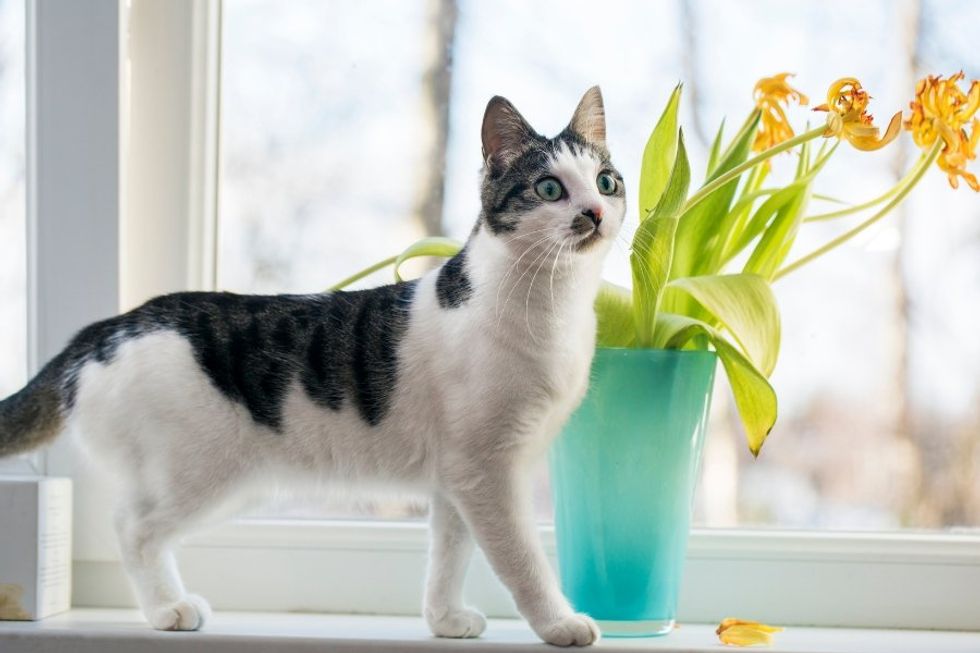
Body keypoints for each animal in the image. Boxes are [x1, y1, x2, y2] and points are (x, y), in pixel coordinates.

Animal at [0, 86, 628, 648]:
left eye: (606, 181)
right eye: (549, 188)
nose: (595, 213)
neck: (556, 308)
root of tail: (104, 329)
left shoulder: (457, 480)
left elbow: (450, 554)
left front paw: (445, 620)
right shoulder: (490, 472)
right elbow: (521, 559)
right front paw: (559, 624)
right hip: (199, 474)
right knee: (132, 528)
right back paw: (167, 610)